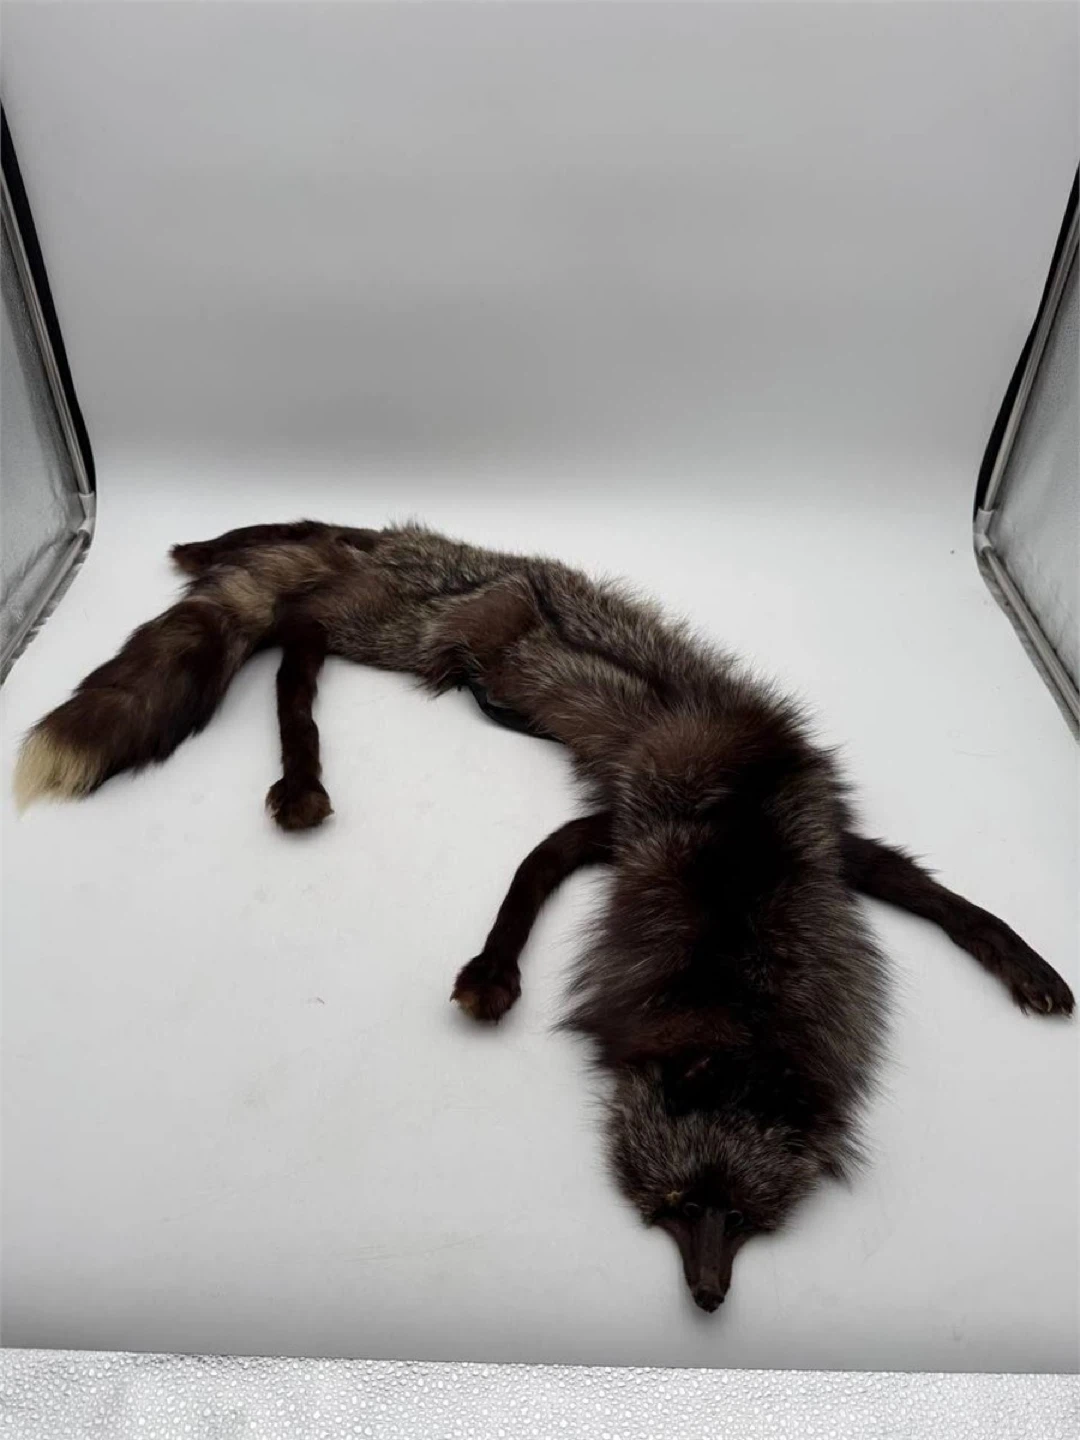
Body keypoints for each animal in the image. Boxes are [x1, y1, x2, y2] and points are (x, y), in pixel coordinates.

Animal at [13, 519, 1074, 1313]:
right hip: (397, 624)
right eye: (675, 1204)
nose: (708, 1298)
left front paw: (1024, 964)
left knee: (310, 605)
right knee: (305, 592)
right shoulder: (630, 824)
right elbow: (528, 880)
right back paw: (255, 657)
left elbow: (944, 899)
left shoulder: (825, 844)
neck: (740, 865)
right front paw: (493, 974)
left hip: (390, 614)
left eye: (742, 1219)